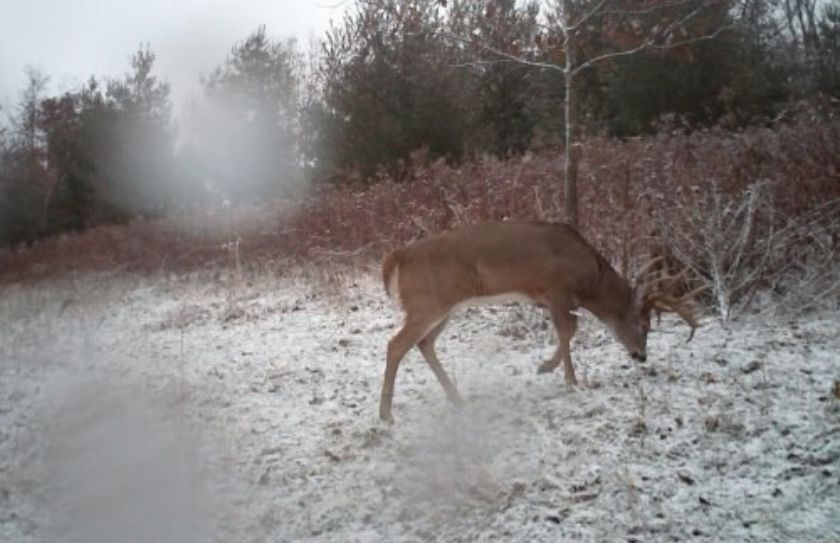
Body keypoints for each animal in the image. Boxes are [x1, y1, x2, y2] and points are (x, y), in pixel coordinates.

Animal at [378, 219, 700, 422]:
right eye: (645, 326)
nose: (641, 356)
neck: (590, 281)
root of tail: (398, 256)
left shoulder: (552, 299)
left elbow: (569, 330)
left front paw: (549, 368)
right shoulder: (556, 290)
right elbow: (568, 330)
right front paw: (567, 379)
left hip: (444, 308)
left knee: (424, 343)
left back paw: (457, 399)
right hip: (427, 303)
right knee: (396, 344)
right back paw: (386, 414)